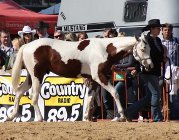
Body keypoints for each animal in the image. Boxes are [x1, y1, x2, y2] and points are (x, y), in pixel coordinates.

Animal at [6, 32, 152, 121]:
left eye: (150, 48)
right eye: (143, 49)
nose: (150, 66)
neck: (104, 49)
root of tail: (27, 45)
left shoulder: (93, 80)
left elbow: (90, 98)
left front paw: (86, 117)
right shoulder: (99, 77)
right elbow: (114, 93)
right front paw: (122, 116)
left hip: (31, 77)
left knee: (19, 92)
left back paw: (11, 116)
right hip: (37, 76)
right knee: (34, 96)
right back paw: (40, 118)